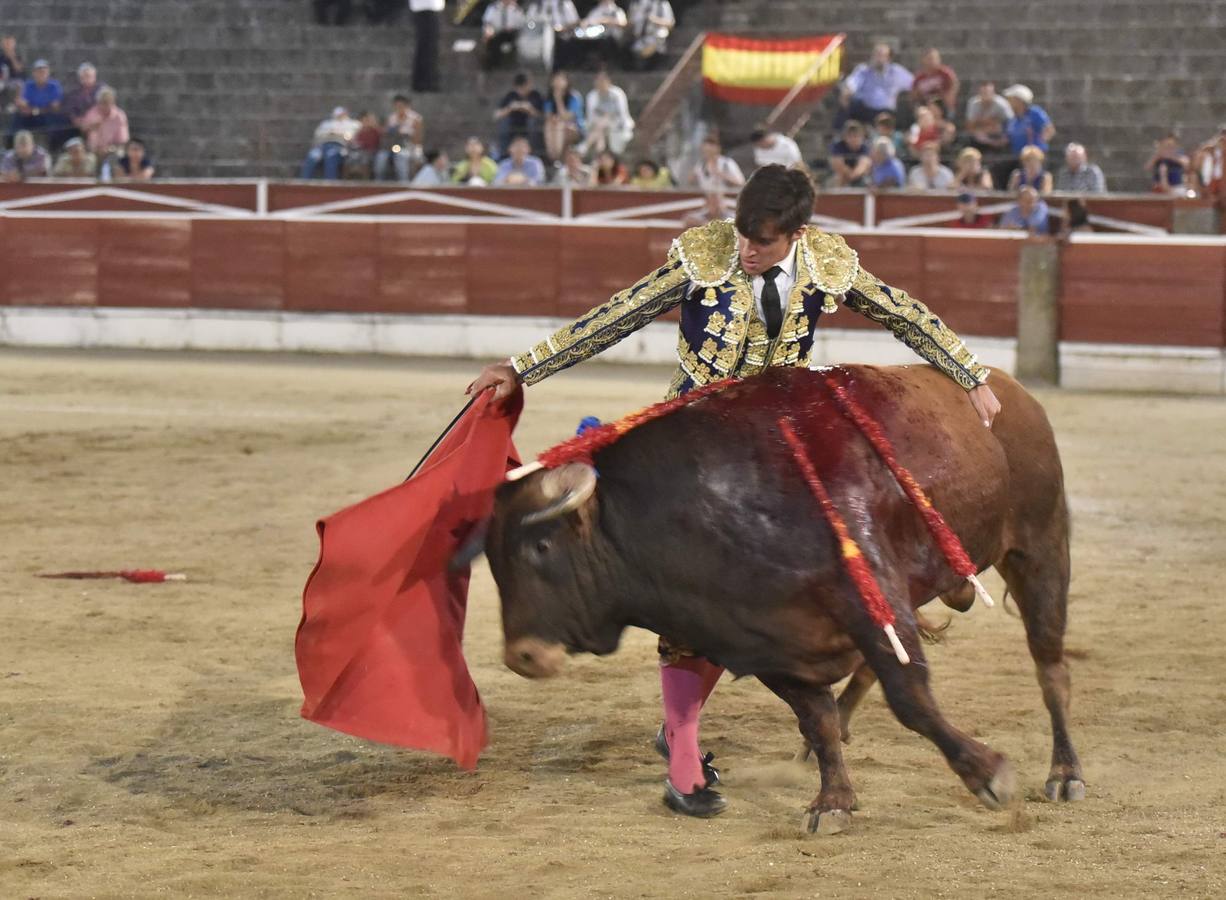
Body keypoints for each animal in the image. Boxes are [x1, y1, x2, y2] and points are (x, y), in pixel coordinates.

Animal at [483, 365, 1088, 833]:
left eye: (540, 546)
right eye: (491, 559)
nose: (523, 656)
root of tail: (1010, 389)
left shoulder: (874, 601)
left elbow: (910, 697)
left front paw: (989, 775)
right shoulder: (764, 641)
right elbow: (817, 717)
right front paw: (833, 800)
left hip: (1040, 550)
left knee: (1051, 667)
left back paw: (1065, 774)